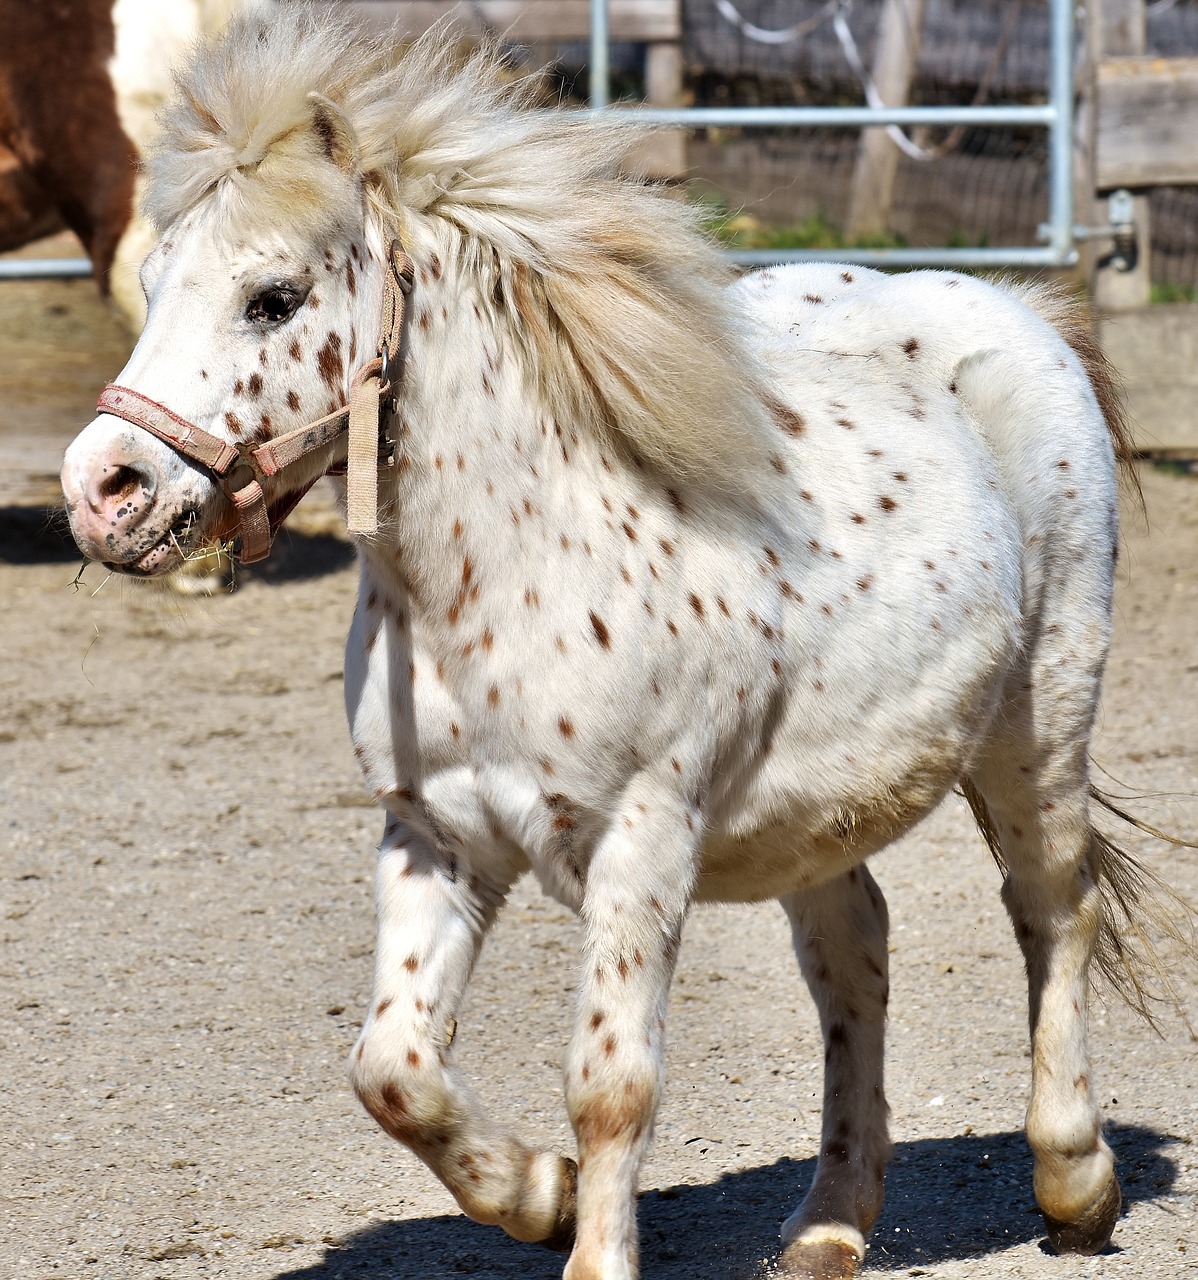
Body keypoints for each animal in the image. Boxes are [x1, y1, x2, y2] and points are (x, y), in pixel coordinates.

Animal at [60, 12, 1172, 1280]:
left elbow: (611, 1085)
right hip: (824, 808)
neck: (504, 574)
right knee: (855, 955)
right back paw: (830, 1219)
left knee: (1053, 907)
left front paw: (580, 1232)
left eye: (274, 295)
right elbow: (392, 1069)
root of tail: (1020, 313)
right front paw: (537, 1193)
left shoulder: (640, 843)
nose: (102, 489)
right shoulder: (435, 836)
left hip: (1036, 727)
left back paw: (1075, 1181)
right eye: (152, 282)